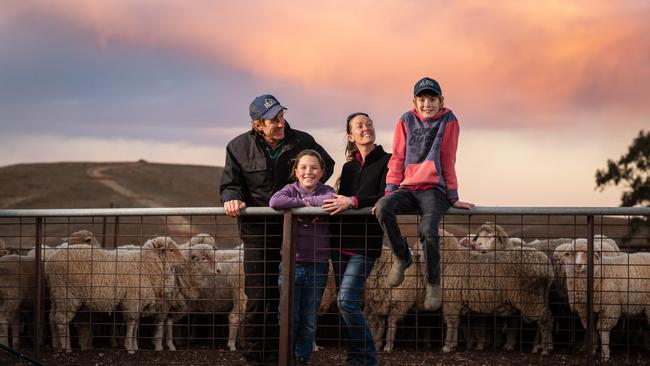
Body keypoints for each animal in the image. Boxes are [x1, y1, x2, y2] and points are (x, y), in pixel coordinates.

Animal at [46, 236, 184, 354]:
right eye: (171, 250)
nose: (184, 260)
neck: (145, 266)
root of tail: (50, 261)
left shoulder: (137, 302)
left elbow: (135, 324)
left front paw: (134, 345)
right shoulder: (132, 300)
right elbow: (131, 323)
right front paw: (129, 347)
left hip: (56, 294)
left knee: (52, 317)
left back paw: (56, 346)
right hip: (66, 294)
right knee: (61, 319)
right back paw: (66, 347)